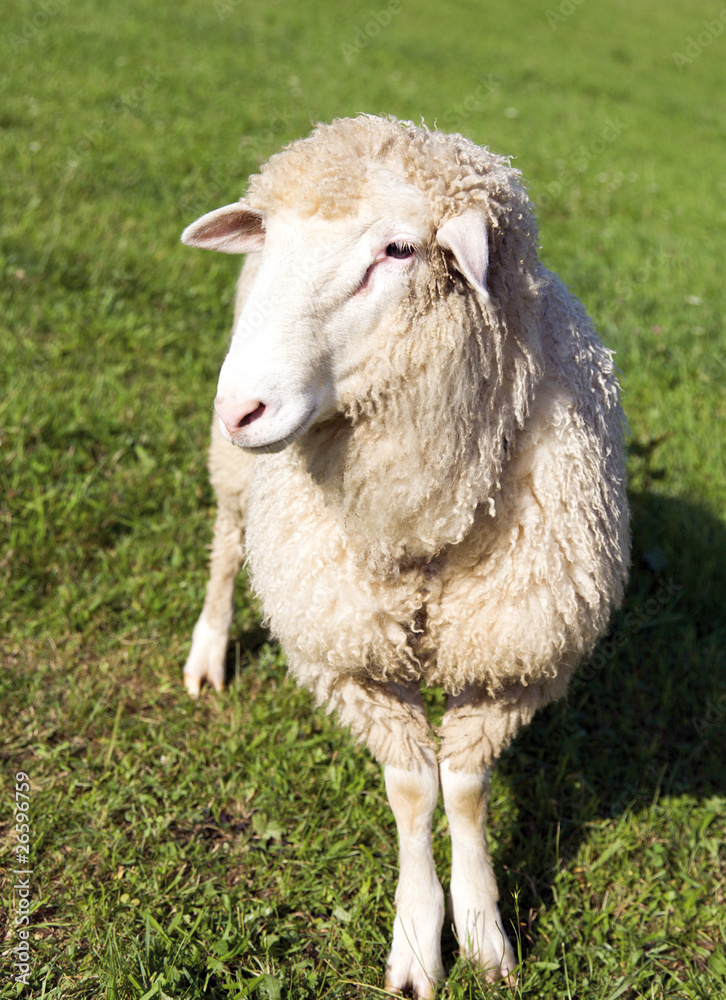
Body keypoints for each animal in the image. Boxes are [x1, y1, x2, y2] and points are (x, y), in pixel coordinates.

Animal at [180, 114, 630, 997]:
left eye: (397, 251)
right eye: (272, 235)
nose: (240, 408)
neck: (423, 519)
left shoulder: (514, 657)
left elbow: (465, 791)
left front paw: (485, 932)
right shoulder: (352, 655)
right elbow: (415, 791)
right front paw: (420, 941)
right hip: (237, 479)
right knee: (225, 549)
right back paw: (208, 653)